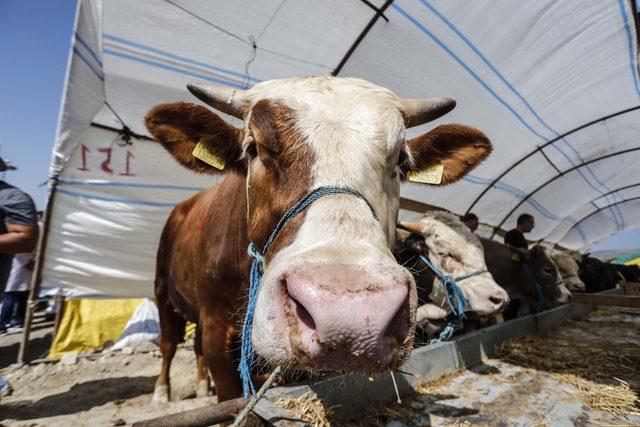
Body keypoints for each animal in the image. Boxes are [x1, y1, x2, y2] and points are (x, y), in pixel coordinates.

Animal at [146, 77, 496, 404]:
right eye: (253, 148)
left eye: (400, 161)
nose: (350, 316)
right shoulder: (216, 333)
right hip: (162, 290)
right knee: (169, 343)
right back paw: (162, 392)